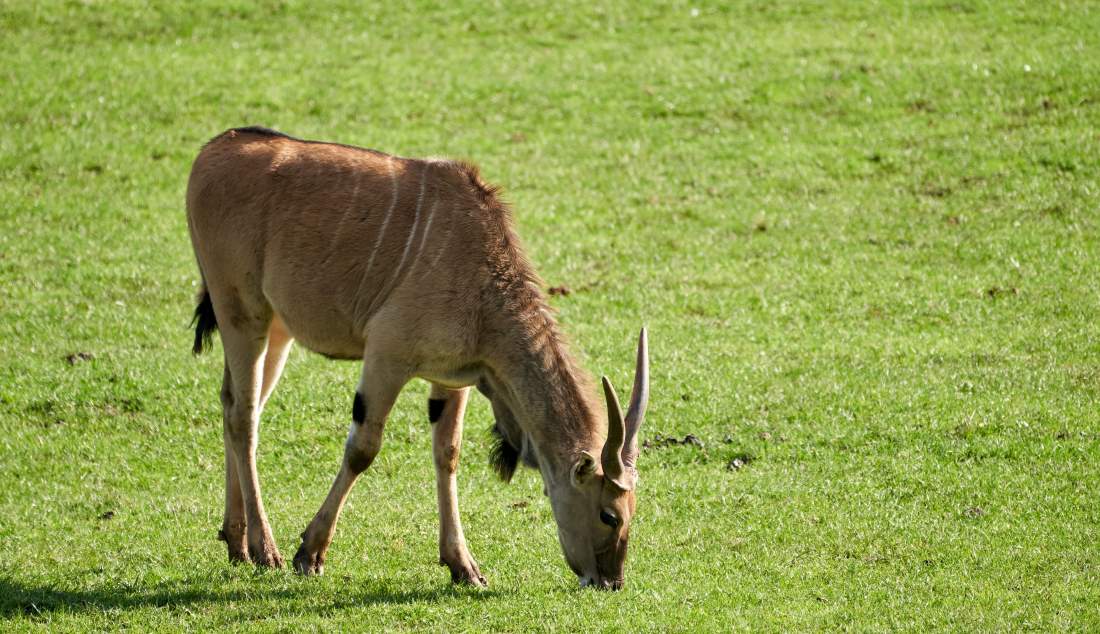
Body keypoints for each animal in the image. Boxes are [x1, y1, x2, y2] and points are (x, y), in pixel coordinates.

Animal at [185, 126, 646, 589]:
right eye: (609, 515)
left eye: (632, 513)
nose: (611, 581)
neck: (484, 277)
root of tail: (213, 150)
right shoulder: (385, 355)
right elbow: (363, 449)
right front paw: (310, 552)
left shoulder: (452, 378)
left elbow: (448, 453)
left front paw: (463, 565)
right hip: (242, 313)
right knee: (244, 416)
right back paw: (265, 550)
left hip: (277, 330)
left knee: (235, 405)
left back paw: (237, 542)